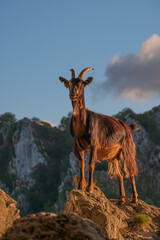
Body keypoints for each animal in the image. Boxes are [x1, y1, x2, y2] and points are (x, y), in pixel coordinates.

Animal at [58, 67, 139, 204]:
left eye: (81, 84)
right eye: (69, 83)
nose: (73, 94)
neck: (82, 123)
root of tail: (127, 127)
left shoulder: (93, 145)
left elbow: (91, 165)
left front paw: (89, 188)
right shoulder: (77, 147)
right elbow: (81, 164)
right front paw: (81, 185)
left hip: (127, 149)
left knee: (131, 171)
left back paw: (134, 198)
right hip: (114, 155)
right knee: (120, 174)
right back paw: (121, 199)